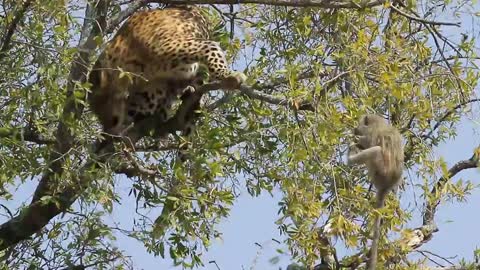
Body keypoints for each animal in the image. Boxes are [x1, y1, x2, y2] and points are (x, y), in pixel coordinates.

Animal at [346, 114, 404, 270]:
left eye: (359, 125)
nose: (355, 129)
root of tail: (386, 185)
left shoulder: (371, 132)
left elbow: (368, 142)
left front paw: (356, 139)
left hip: (380, 170)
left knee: (376, 150)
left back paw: (350, 157)